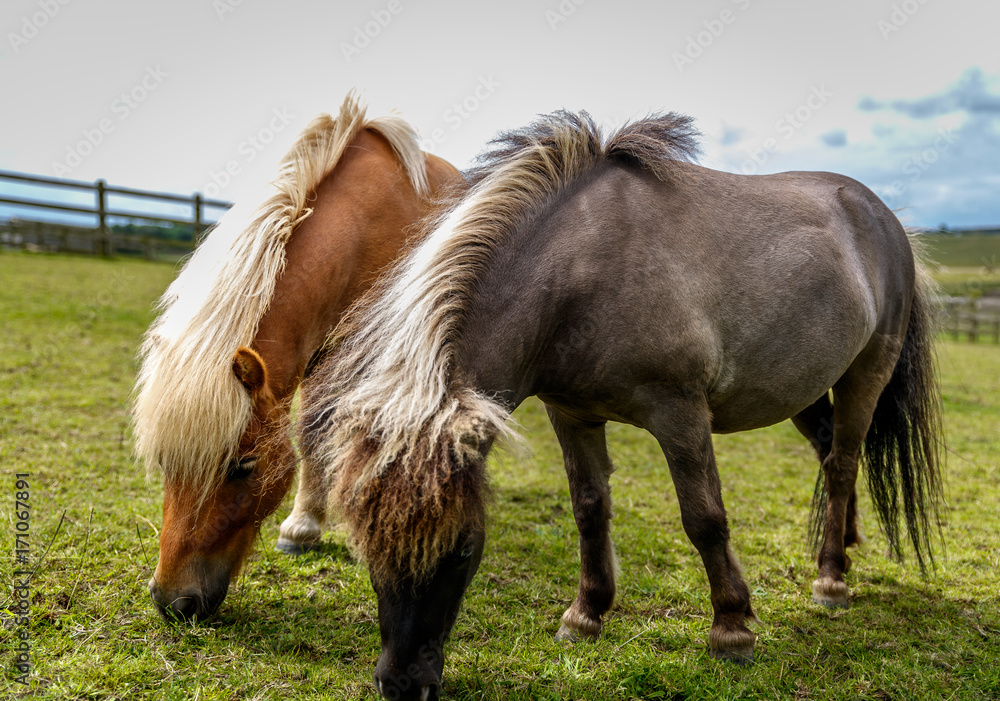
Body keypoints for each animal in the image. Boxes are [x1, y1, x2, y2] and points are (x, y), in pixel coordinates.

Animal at [132, 92, 463, 622]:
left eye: (242, 466)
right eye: (165, 459)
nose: (173, 601)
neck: (361, 225)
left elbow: (318, 430)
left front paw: (304, 526)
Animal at [300, 111, 943, 699]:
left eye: (462, 549)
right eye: (363, 545)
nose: (403, 684)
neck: (583, 274)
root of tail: (885, 219)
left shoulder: (679, 414)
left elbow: (704, 518)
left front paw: (732, 628)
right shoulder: (572, 414)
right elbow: (589, 509)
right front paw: (586, 614)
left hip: (865, 375)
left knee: (843, 463)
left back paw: (831, 580)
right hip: (801, 388)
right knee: (830, 452)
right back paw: (847, 550)